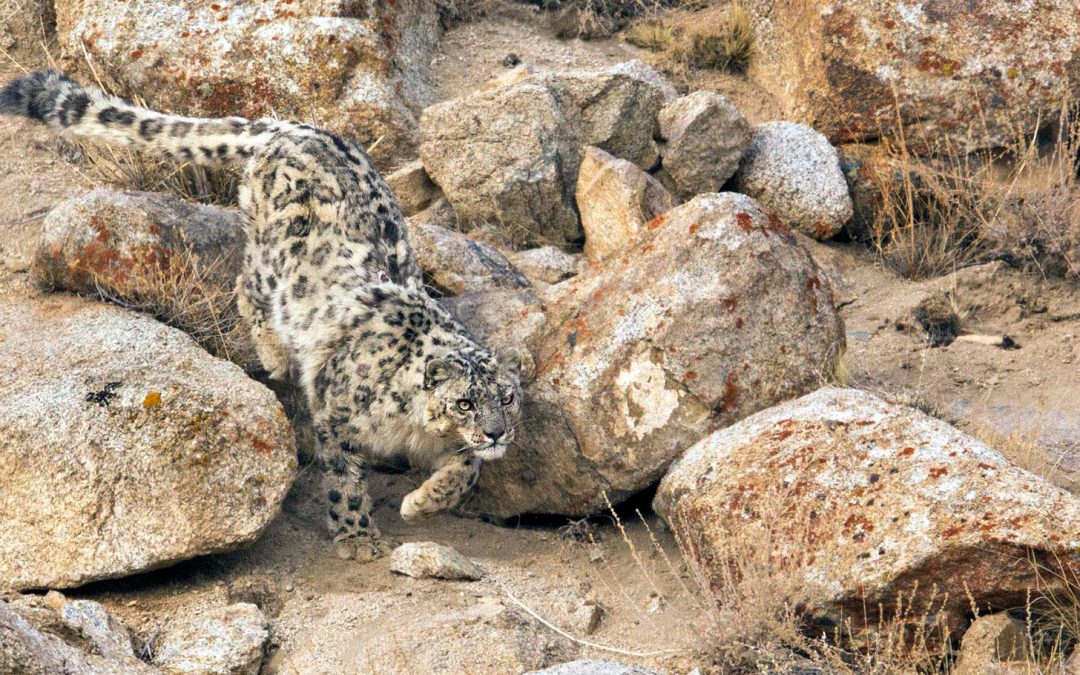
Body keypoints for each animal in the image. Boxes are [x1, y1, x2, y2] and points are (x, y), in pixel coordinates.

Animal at [1, 71, 523, 562]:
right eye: (465, 403)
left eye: (507, 397)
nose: (497, 431)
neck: (413, 428)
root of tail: (293, 127)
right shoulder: (335, 416)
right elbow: (343, 479)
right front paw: (358, 536)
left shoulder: (454, 446)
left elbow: (468, 469)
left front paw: (421, 501)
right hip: (271, 258)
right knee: (246, 286)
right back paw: (274, 353)